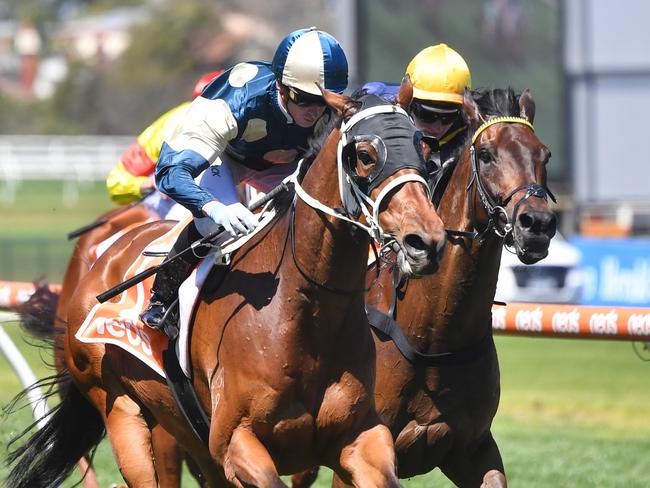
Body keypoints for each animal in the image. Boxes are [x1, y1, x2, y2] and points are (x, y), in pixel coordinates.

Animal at [8, 82, 446, 486]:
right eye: (365, 155)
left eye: (424, 152)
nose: (425, 241)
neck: (305, 314)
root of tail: (102, 263)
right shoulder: (236, 441)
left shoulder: (360, 437)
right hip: (121, 411)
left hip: (187, 431)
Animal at [292, 87, 556, 488]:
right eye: (486, 154)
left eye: (544, 154)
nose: (537, 223)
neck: (436, 334)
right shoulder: (357, 450)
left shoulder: (474, 448)